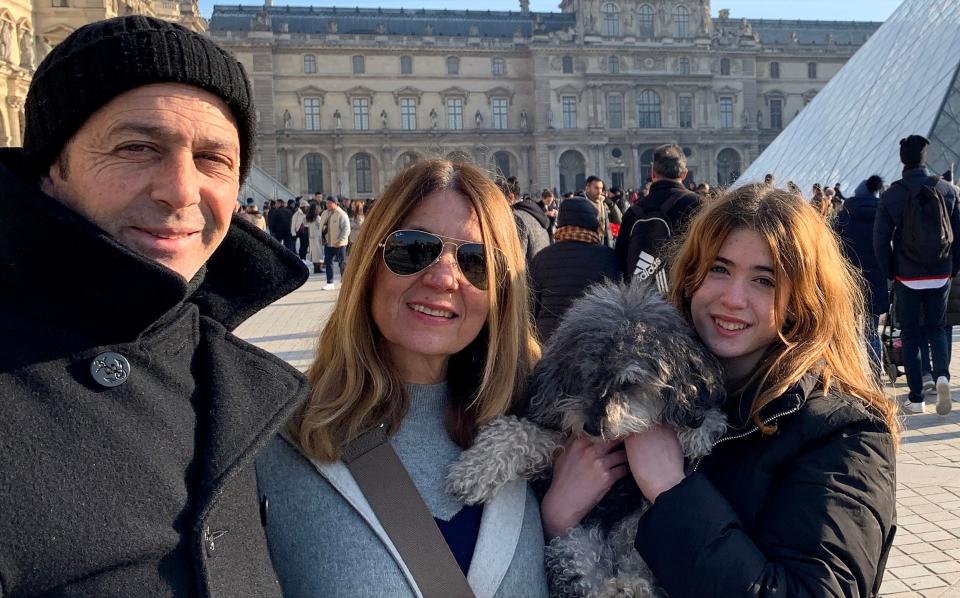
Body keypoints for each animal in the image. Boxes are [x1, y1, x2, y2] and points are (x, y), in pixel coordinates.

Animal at [446, 282, 724, 598]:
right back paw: (622, 589)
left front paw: (699, 428)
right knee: (591, 582)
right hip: (574, 543)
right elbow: (514, 432)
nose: (591, 426)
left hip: (634, 534)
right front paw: (471, 472)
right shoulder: (557, 442)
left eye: (629, 383)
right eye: (585, 374)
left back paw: (631, 587)